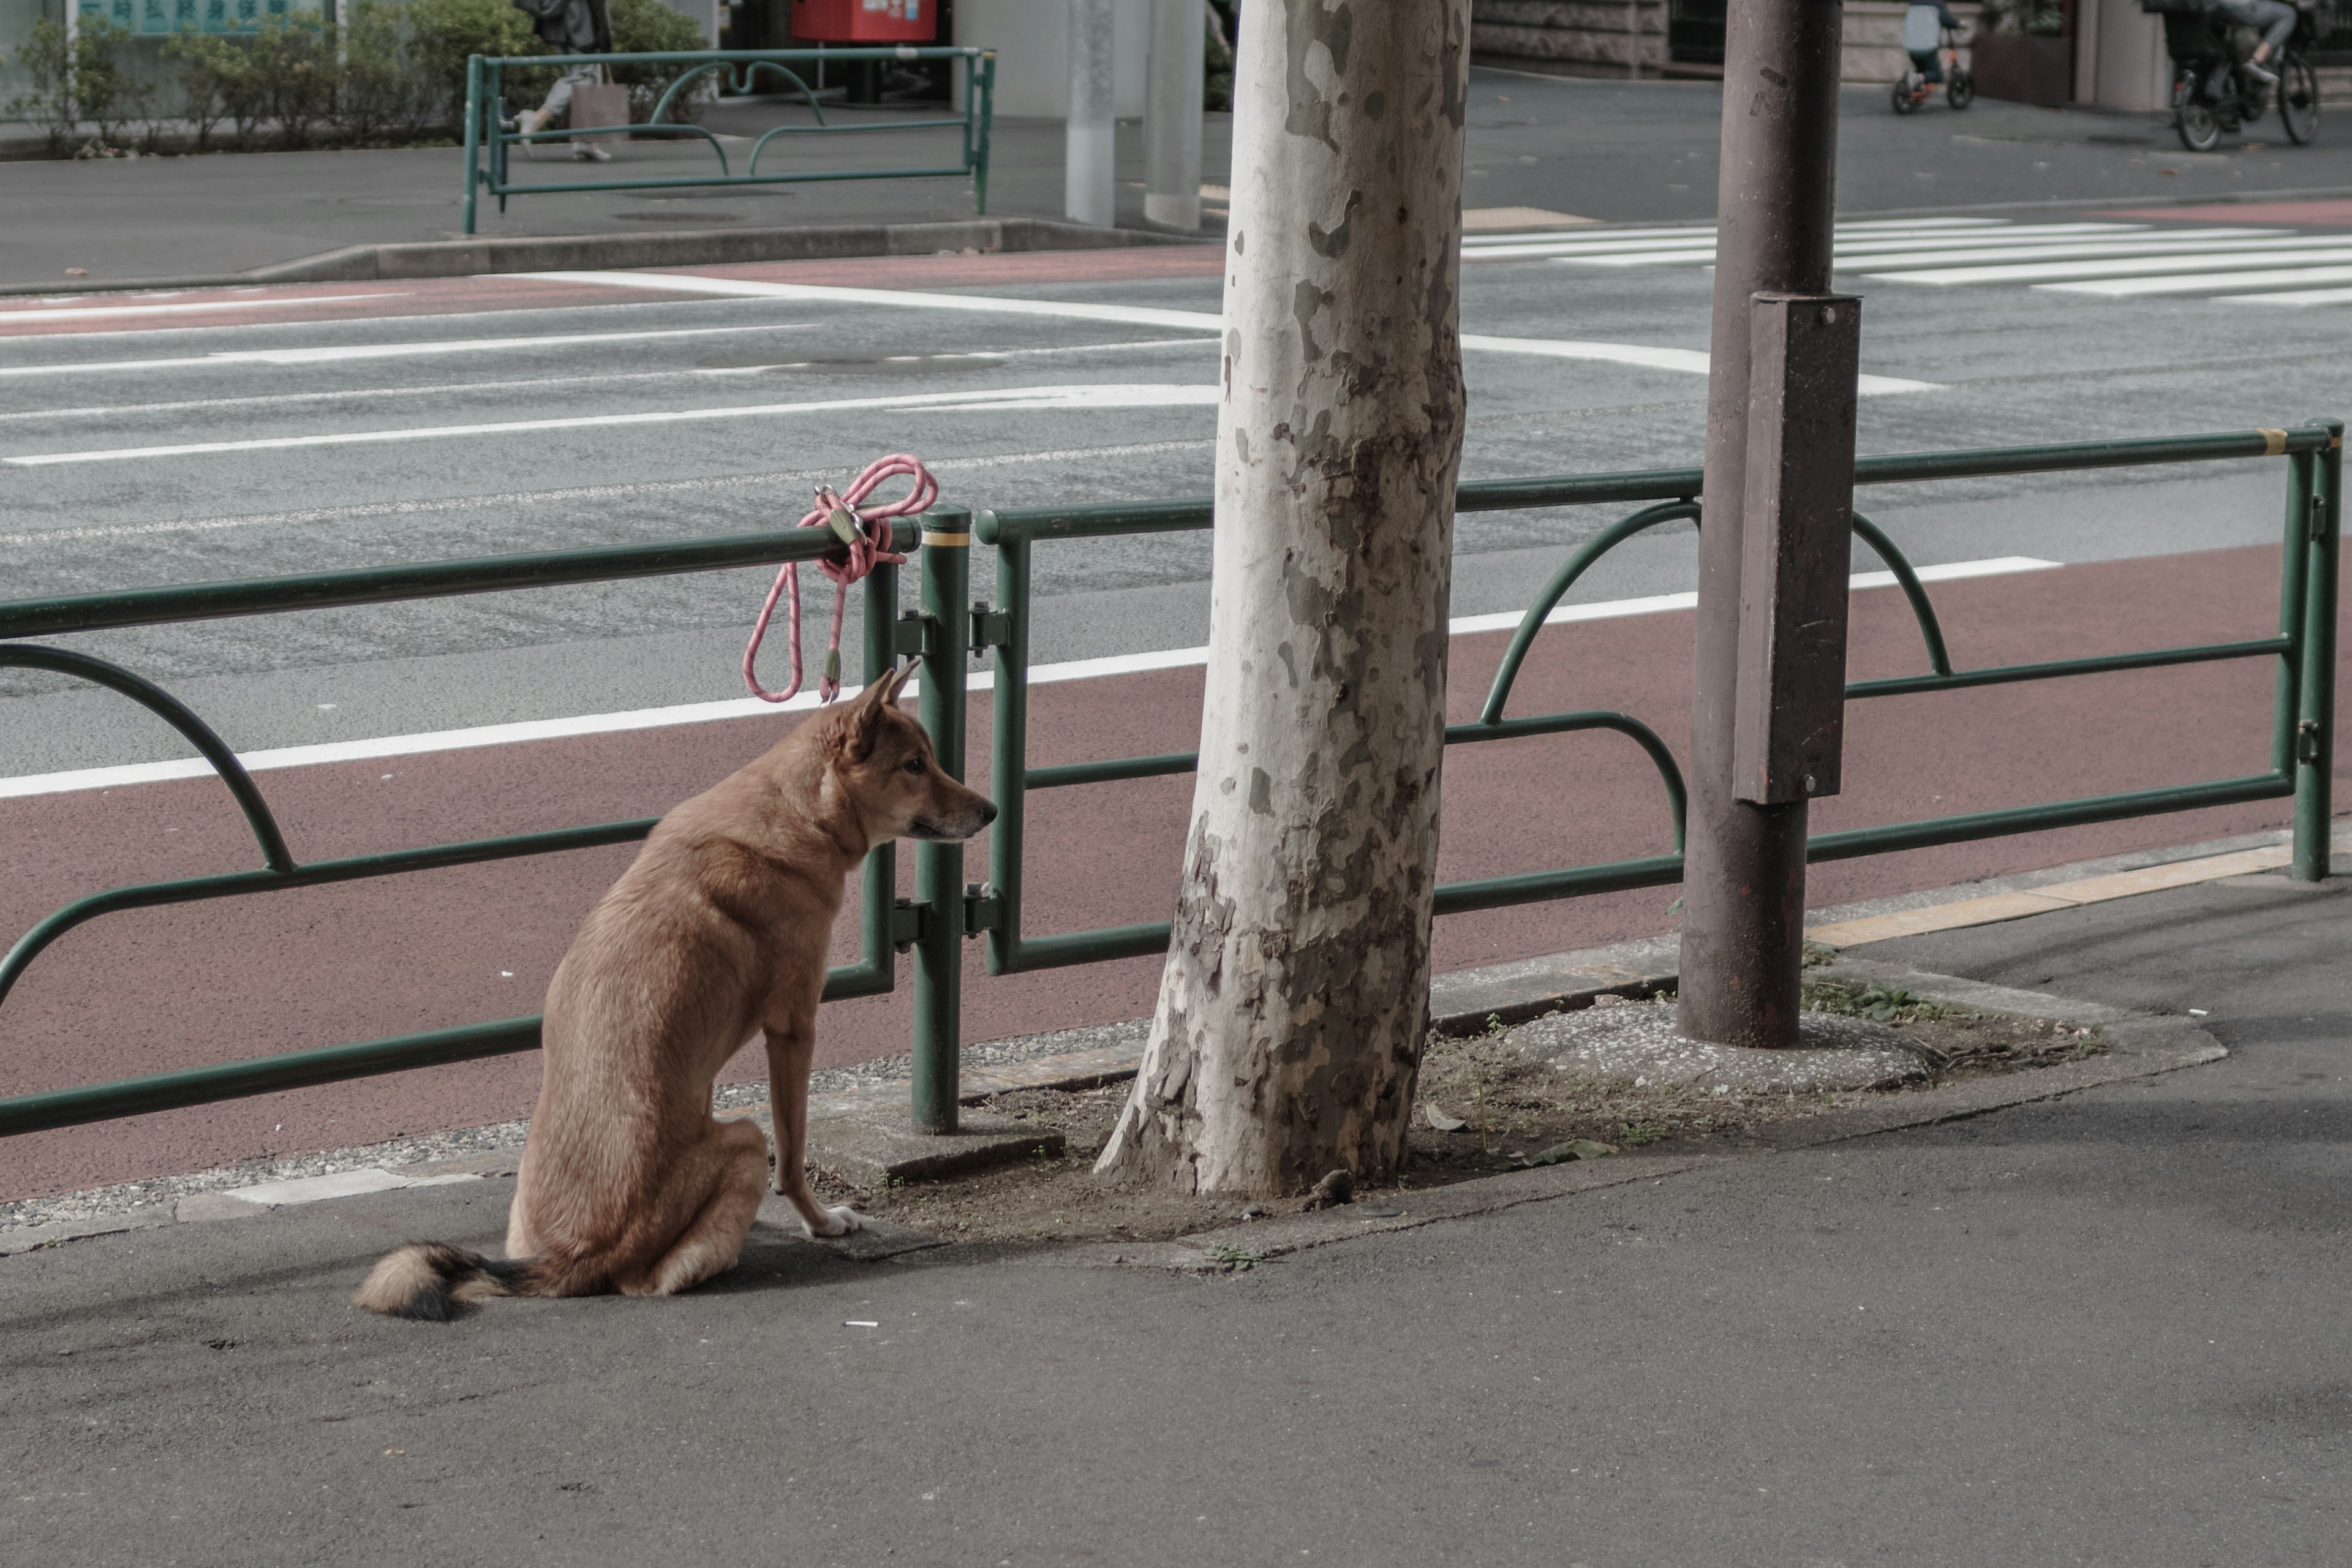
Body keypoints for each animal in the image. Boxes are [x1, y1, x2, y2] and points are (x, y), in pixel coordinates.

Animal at [355, 668, 992, 1316]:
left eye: (930, 759)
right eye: (914, 765)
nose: (992, 810)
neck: (795, 814)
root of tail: (570, 1257)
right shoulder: (793, 1029)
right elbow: (793, 1159)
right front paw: (819, 1223)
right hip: (744, 1139)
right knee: (661, 1277)